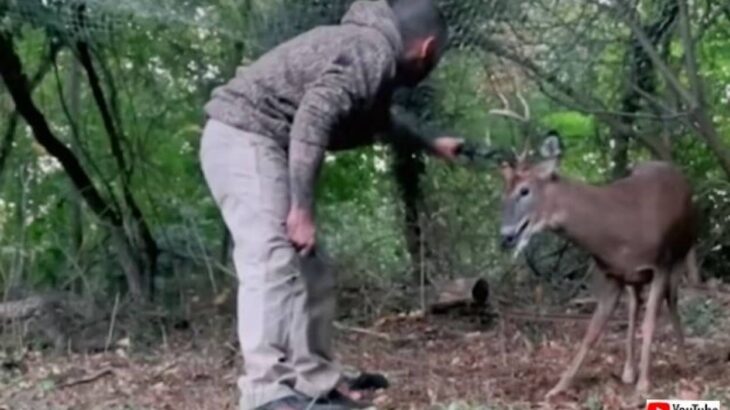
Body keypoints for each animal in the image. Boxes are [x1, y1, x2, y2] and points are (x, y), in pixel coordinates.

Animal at [494, 133, 700, 398]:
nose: (506, 236)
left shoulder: (660, 264)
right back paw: (628, 371)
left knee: (671, 299)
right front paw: (558, 387)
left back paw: (682, 362)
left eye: (524, 190)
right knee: (635, 306)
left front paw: (645, 384)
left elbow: (650, 323)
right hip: (634, 278)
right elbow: (591, 332)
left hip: (681, 254)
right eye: (504, 193)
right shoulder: (611, 274)